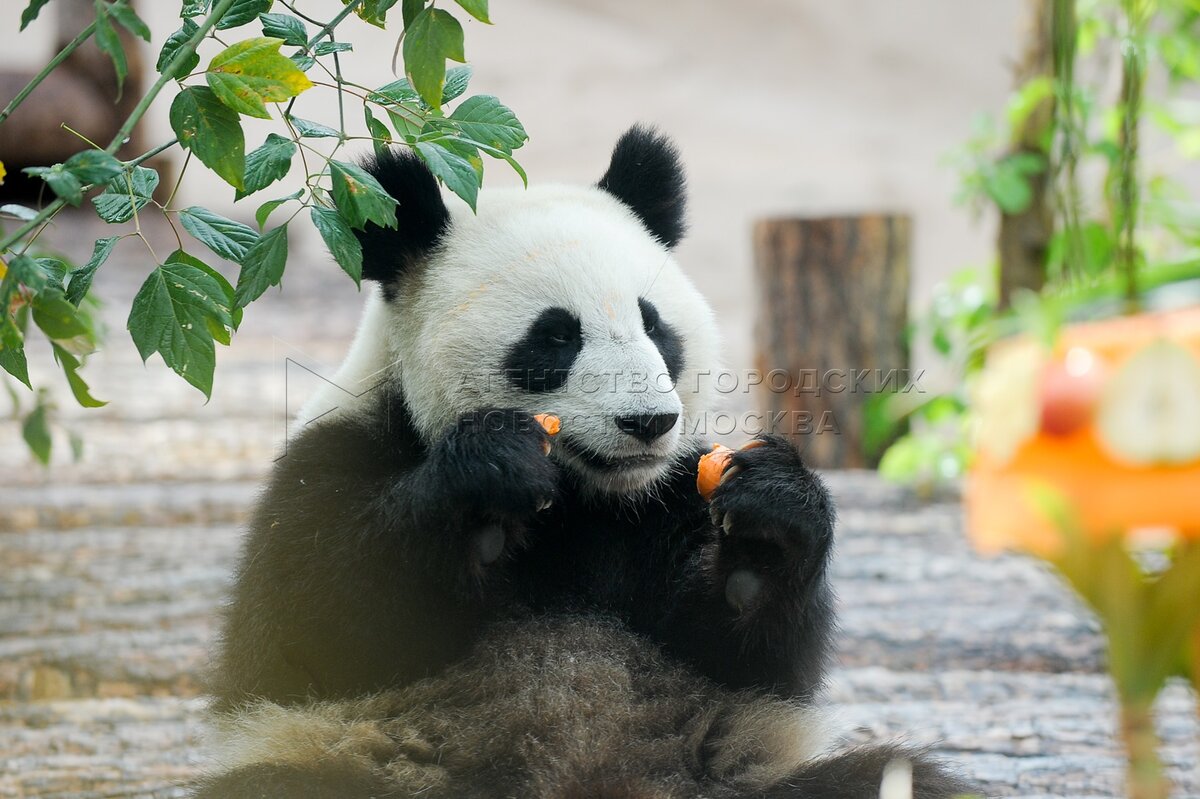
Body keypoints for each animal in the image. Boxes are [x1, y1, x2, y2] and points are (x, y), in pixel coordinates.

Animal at [192, 127, 969, 791]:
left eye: (655, 325)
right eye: (556, 336)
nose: (647, 422)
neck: (584, 499)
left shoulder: (670, 497)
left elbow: (746, 657)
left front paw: (769, 522)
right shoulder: (335, 456)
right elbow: (314, 632)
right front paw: (487, 482)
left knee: (891, 779)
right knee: (281, 782)